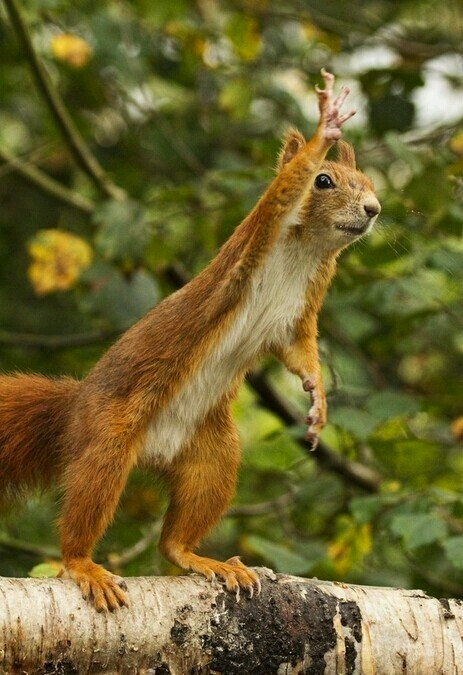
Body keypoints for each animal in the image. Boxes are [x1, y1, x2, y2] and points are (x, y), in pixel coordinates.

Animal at [0, 72, 380, 612]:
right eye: (323, 180)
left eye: (370, 185)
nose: (374, 210)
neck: (305, 249)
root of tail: (72, 410)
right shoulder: (257, 236)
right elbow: (283, 191)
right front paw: (324, 124)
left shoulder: (298, 317)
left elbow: (301, 353)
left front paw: (317, 398)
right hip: (107, 438)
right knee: (85, 507)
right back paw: (83, 565)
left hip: (213, 457)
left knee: (174, 538)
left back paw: (202, 558)